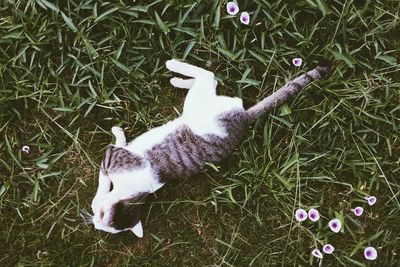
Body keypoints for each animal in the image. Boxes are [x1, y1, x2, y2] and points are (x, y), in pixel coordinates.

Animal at [90, 59, 328, 239]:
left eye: (103, 219)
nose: (93, 223)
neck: (138, 189)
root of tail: (245, 118)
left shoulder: (112, 157)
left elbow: (103, 178)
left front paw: (117, 134)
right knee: (211, 81)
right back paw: (179, 80)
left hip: (197, 109)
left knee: (208, 75)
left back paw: (174, 66)